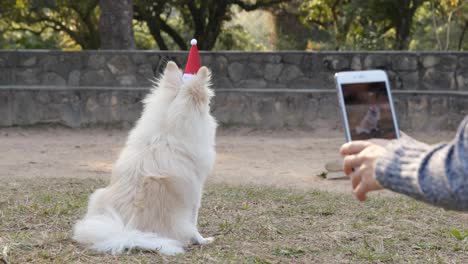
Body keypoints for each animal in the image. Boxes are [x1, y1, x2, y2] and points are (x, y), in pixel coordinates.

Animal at [72, 62, 218, 256]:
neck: (167, 128)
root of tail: (129, 231)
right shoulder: (196, 190)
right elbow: (195, 222)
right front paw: (203, 240)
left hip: (98, 196)